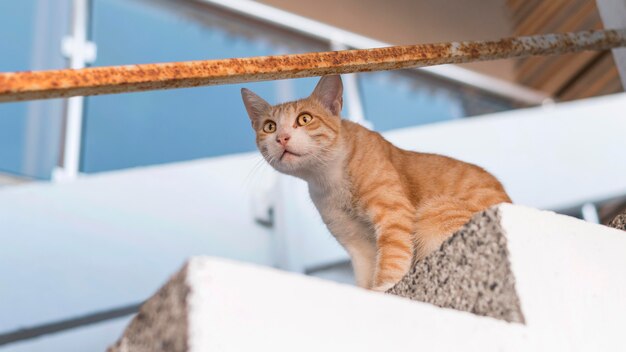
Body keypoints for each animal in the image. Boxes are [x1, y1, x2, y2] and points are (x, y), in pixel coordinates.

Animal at [241, 75, 510, 292]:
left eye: (305, 119)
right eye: (269, 126)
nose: (282, 137)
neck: (330, 179)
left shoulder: (393, 214)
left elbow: (392, 257)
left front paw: (384, 288)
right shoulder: (355, 242)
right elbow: (365, 274)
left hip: (436, 211)